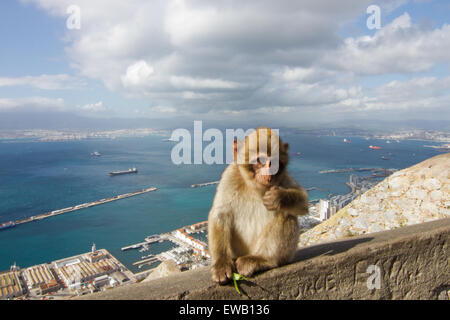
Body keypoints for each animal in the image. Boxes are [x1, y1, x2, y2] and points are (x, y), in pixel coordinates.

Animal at [208, 126, 310, 284]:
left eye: (275, 163)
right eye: (260, 160)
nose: (269, 174)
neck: (255, 187)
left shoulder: (283, 178)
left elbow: (304, 202)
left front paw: (278, 198)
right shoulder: (230, 176)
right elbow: (220, 215)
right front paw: (221, 263)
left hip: (281, 254)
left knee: (286, 215)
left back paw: (262, 260)